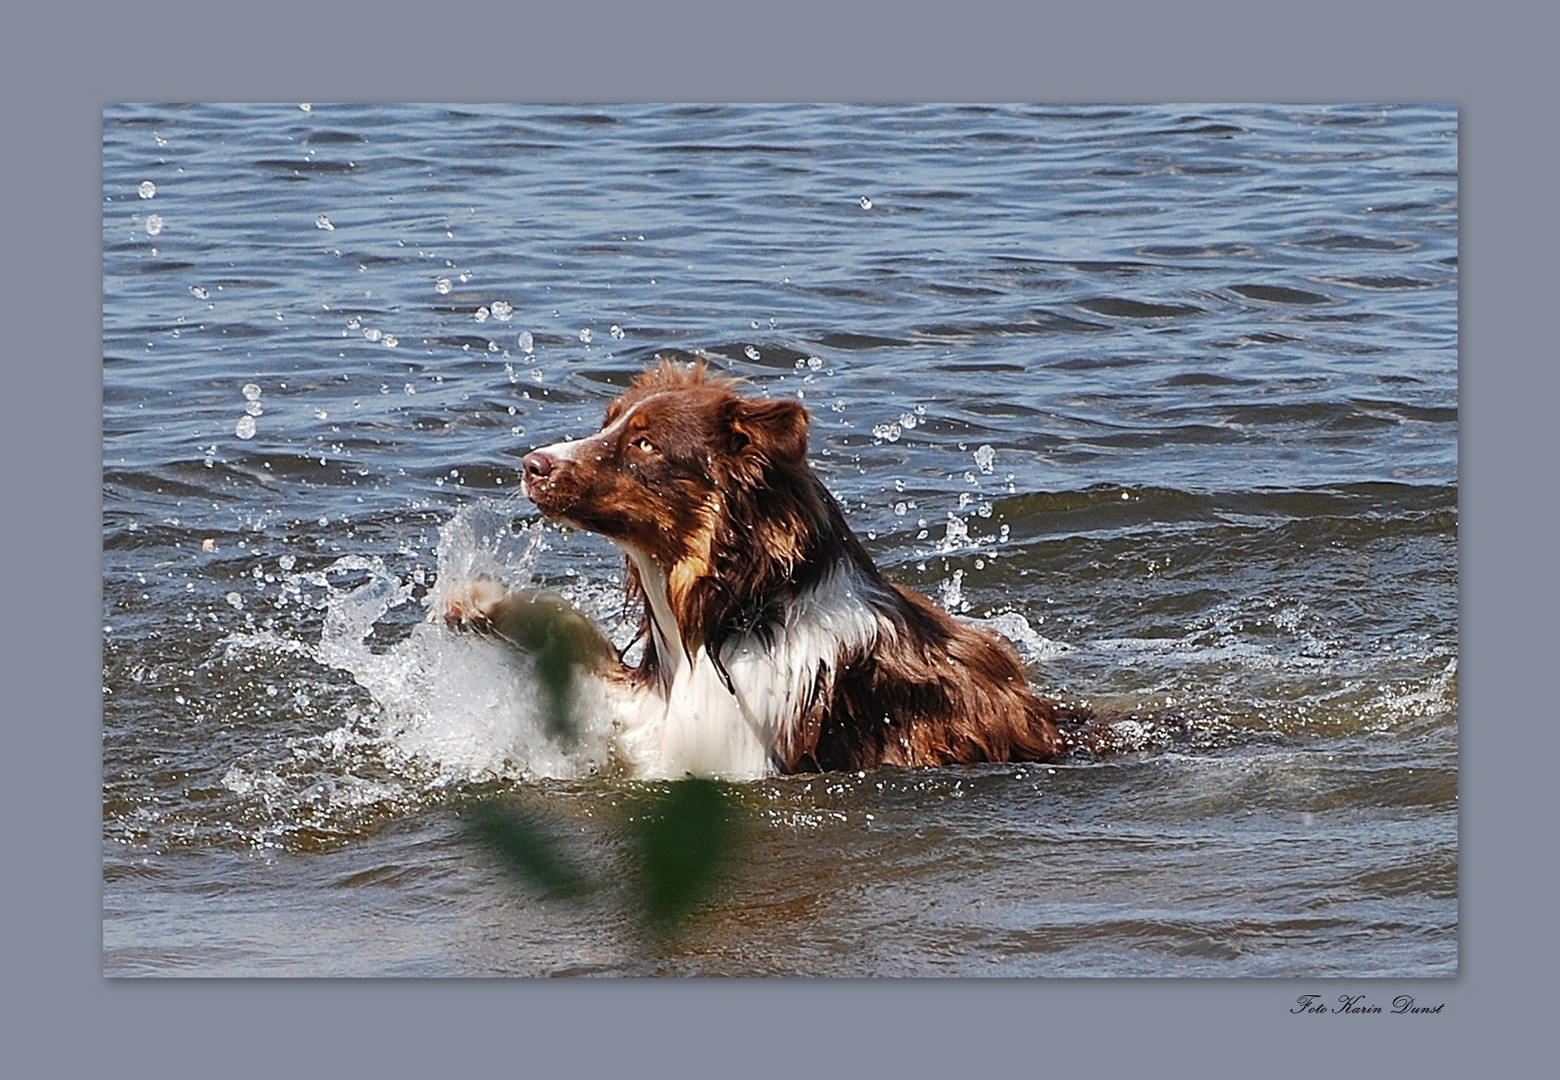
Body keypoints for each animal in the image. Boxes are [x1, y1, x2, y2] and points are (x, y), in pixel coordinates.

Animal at [446, 360, 1116, 777]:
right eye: (607, 422)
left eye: (645, 444)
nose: (531, 464)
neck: (738, 610)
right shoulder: (649, 713)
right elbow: (571, 635)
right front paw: (476, 600)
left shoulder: (726, 753)